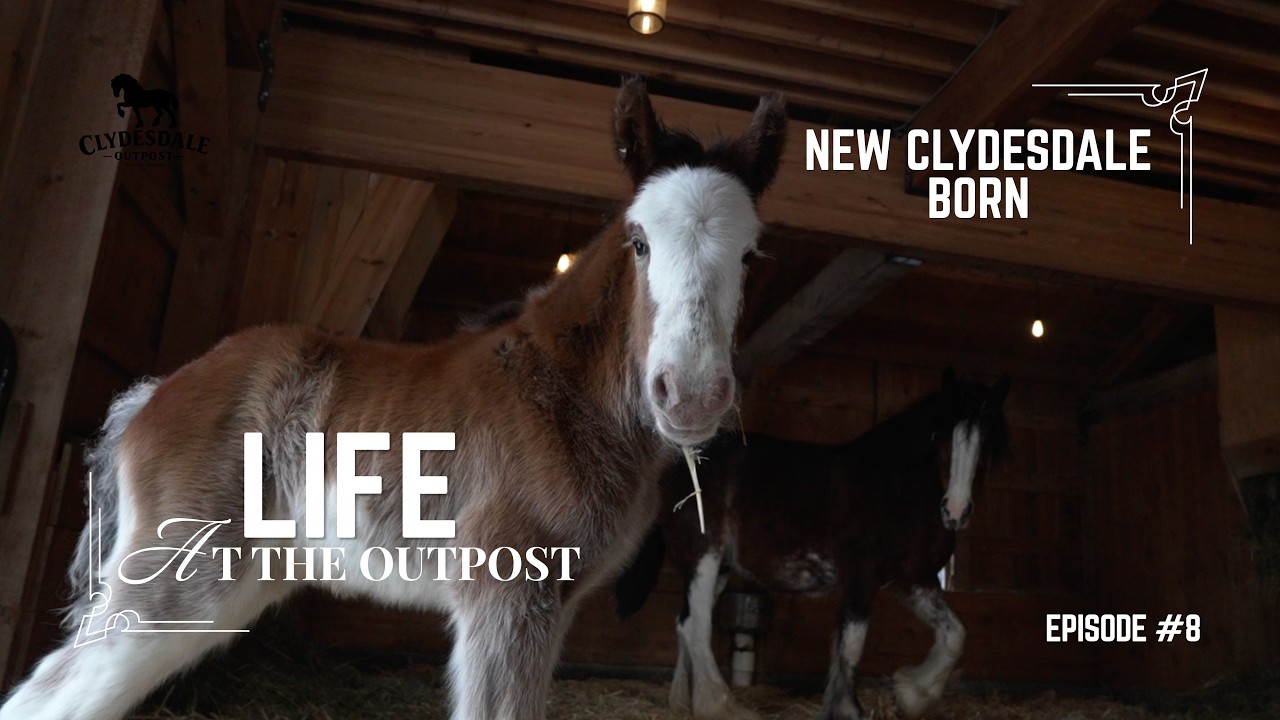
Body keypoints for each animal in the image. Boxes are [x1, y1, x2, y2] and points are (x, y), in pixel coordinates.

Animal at [0, 78, 787, 720]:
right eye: (639, 241)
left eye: (751, 255)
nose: (690, 394)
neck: (560, 394)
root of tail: (152, 396)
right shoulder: (503, 596)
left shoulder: (552, 607)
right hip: (179, 580)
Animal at [616, 368, 1009, 720]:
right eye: (941, 437)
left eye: (988, 442)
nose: (955, 511)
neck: (894, 488)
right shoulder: (862, 580)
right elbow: (851, 646)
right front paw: (850, 709)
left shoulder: (913, 583)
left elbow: (954, 635)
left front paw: (912, 694)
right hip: (704, 558)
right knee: (696, 626)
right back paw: (722, 706)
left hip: (721, 567)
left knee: (685, 623)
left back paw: (685, 703)